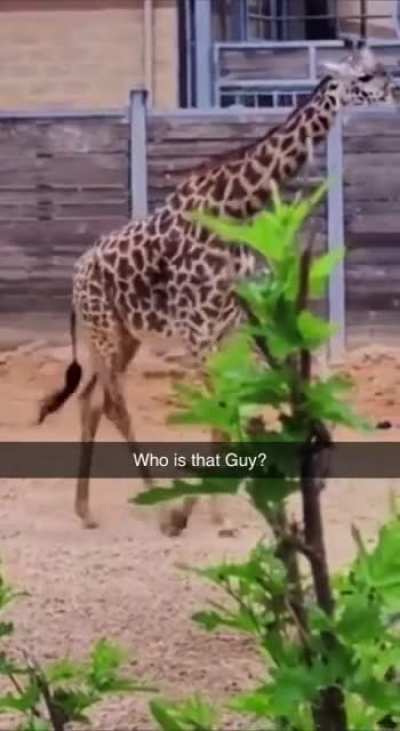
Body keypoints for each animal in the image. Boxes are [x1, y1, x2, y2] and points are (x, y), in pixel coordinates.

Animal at [38, 46, 397, 534]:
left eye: (381, 69)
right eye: (364, 76)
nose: (394, 91)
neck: (237, 209)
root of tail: (75, 275)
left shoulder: (235, 326)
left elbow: (236, 407)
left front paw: (218, 507)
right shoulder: (197, 330)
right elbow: (220, 408)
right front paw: (207, 512)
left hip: (120, 336)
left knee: (90, 401)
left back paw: (86, 510)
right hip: (106, 331)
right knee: (113, 404)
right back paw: (160, 507)